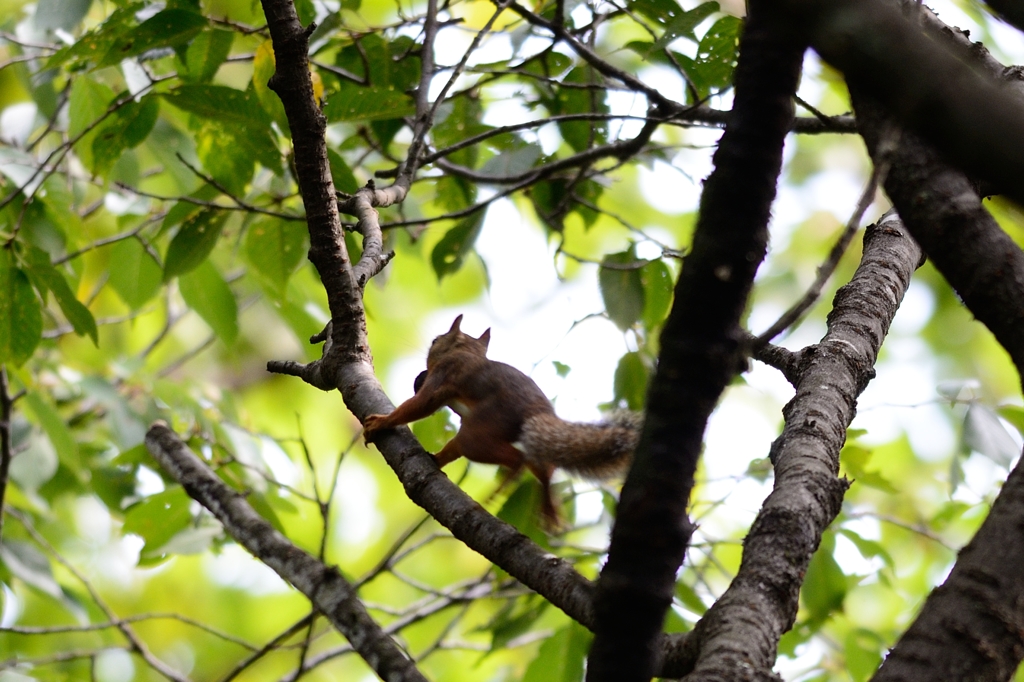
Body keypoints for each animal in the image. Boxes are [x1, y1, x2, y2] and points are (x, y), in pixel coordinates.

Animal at [362, 313, 638, 520]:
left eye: (435, 341)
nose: (426, 361)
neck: (468, 352)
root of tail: (537, 413)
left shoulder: (445, 373)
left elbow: (422, 404)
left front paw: (381, 422)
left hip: (481, 432)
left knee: (514, 458)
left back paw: (508, 479)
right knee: (540, 465)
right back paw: (548, 506)